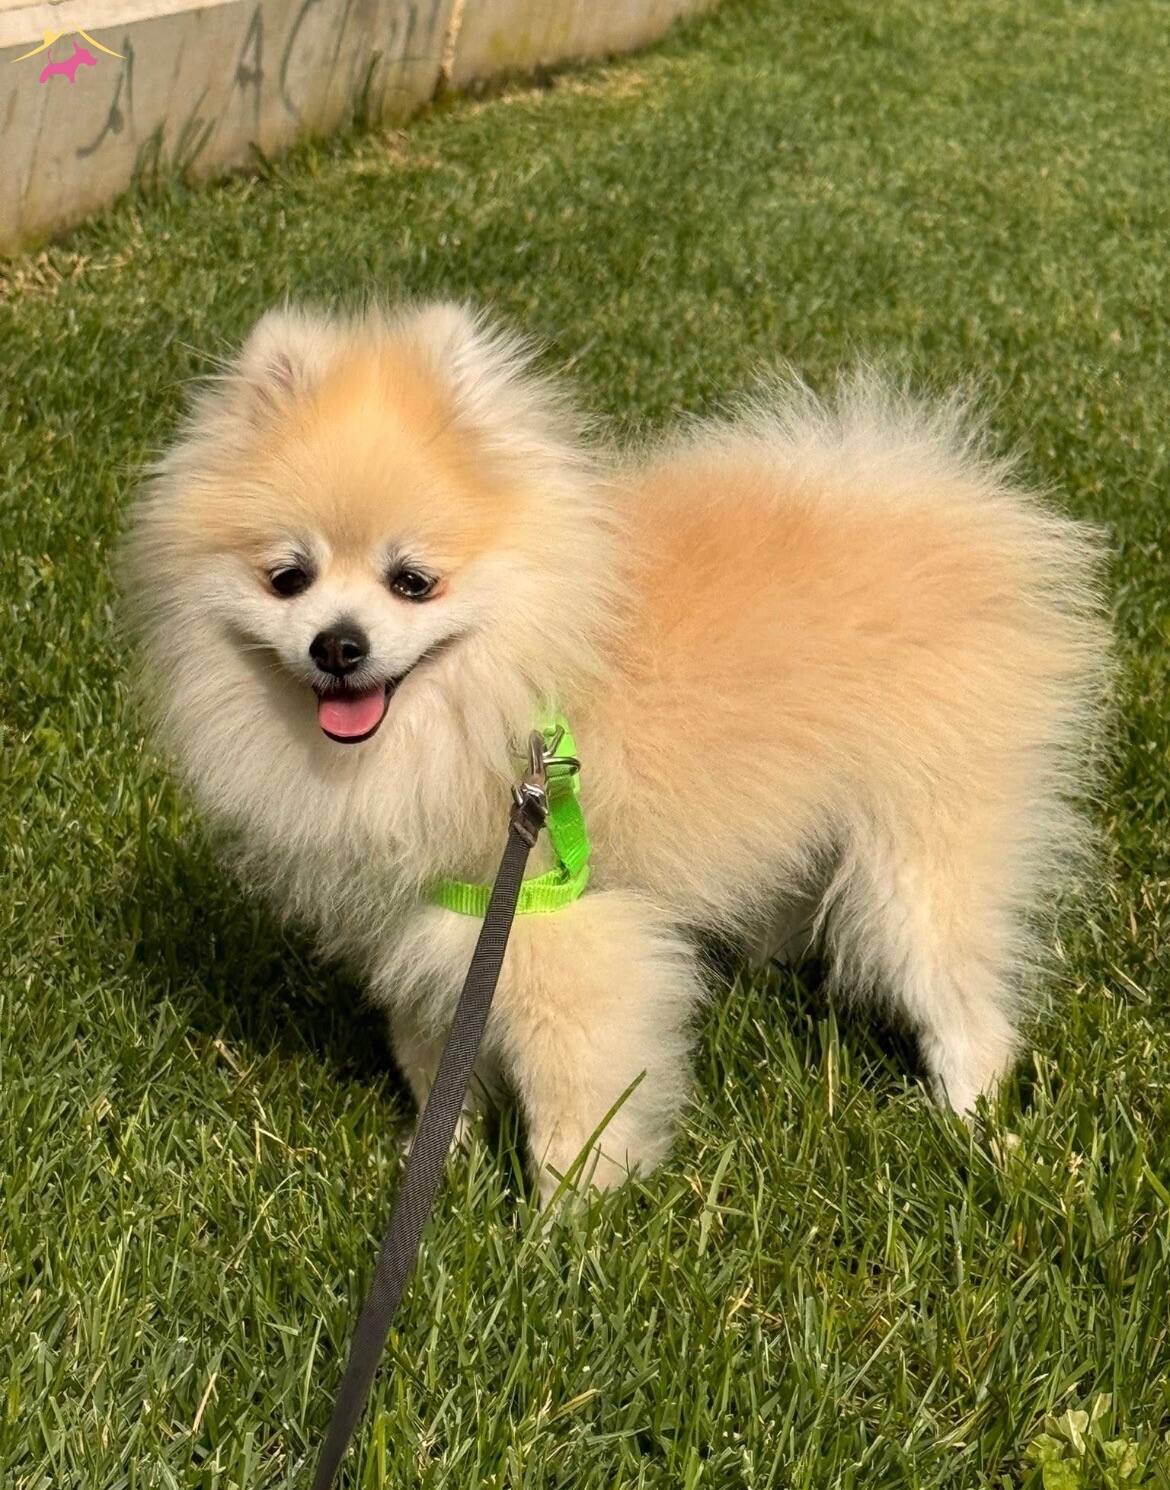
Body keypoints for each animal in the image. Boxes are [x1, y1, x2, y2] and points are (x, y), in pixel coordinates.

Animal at [123, 303, 1110, 1202]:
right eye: (287, 578)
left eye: (413, 582)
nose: (338, 645)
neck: (503, 685)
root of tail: (941, 506)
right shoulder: (427, 922)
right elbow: (435, 1057)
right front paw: (439, 1165)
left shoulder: (558, 929)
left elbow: (575, 1096)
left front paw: (563, 1226)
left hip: (920, 847)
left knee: (957, 991)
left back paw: (972, 1122)